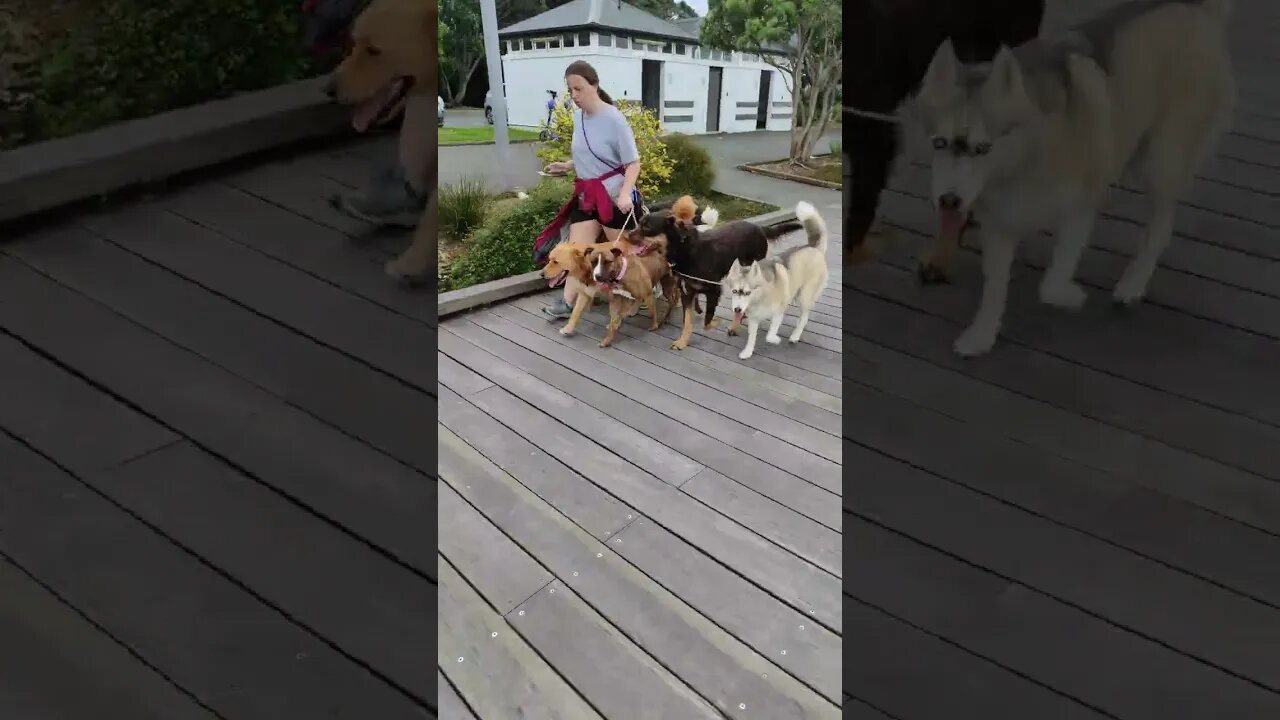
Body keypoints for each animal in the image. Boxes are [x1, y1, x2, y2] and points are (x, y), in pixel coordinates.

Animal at [732, 199, 829, 358]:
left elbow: (770, 335)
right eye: (734, 291)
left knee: (804, 317)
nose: (737, 310)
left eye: (747, 292)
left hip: (805, 296)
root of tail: (813, 248)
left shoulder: (779, 311)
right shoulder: (753, 318)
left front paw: (775, 339)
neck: (761, 296)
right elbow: (752, 337)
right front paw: (747, 352)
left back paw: (795, 335)